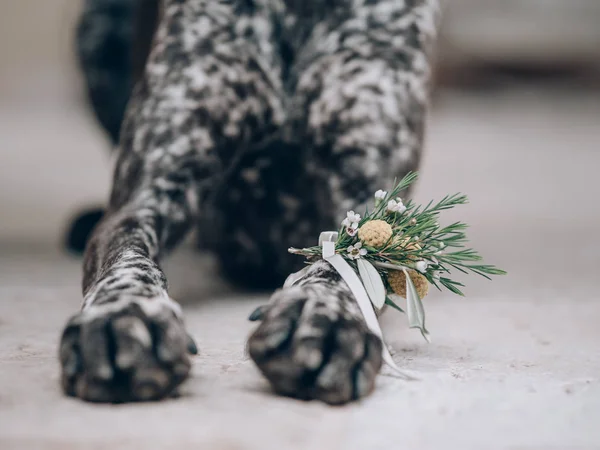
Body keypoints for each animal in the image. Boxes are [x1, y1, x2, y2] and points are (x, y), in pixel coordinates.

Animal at [58, 0, 438, 404]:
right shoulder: (147, 196)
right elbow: (128, 257)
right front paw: (126, 314)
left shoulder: (376, 202)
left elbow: (346, 266)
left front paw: (321, 317)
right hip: (97, 29)